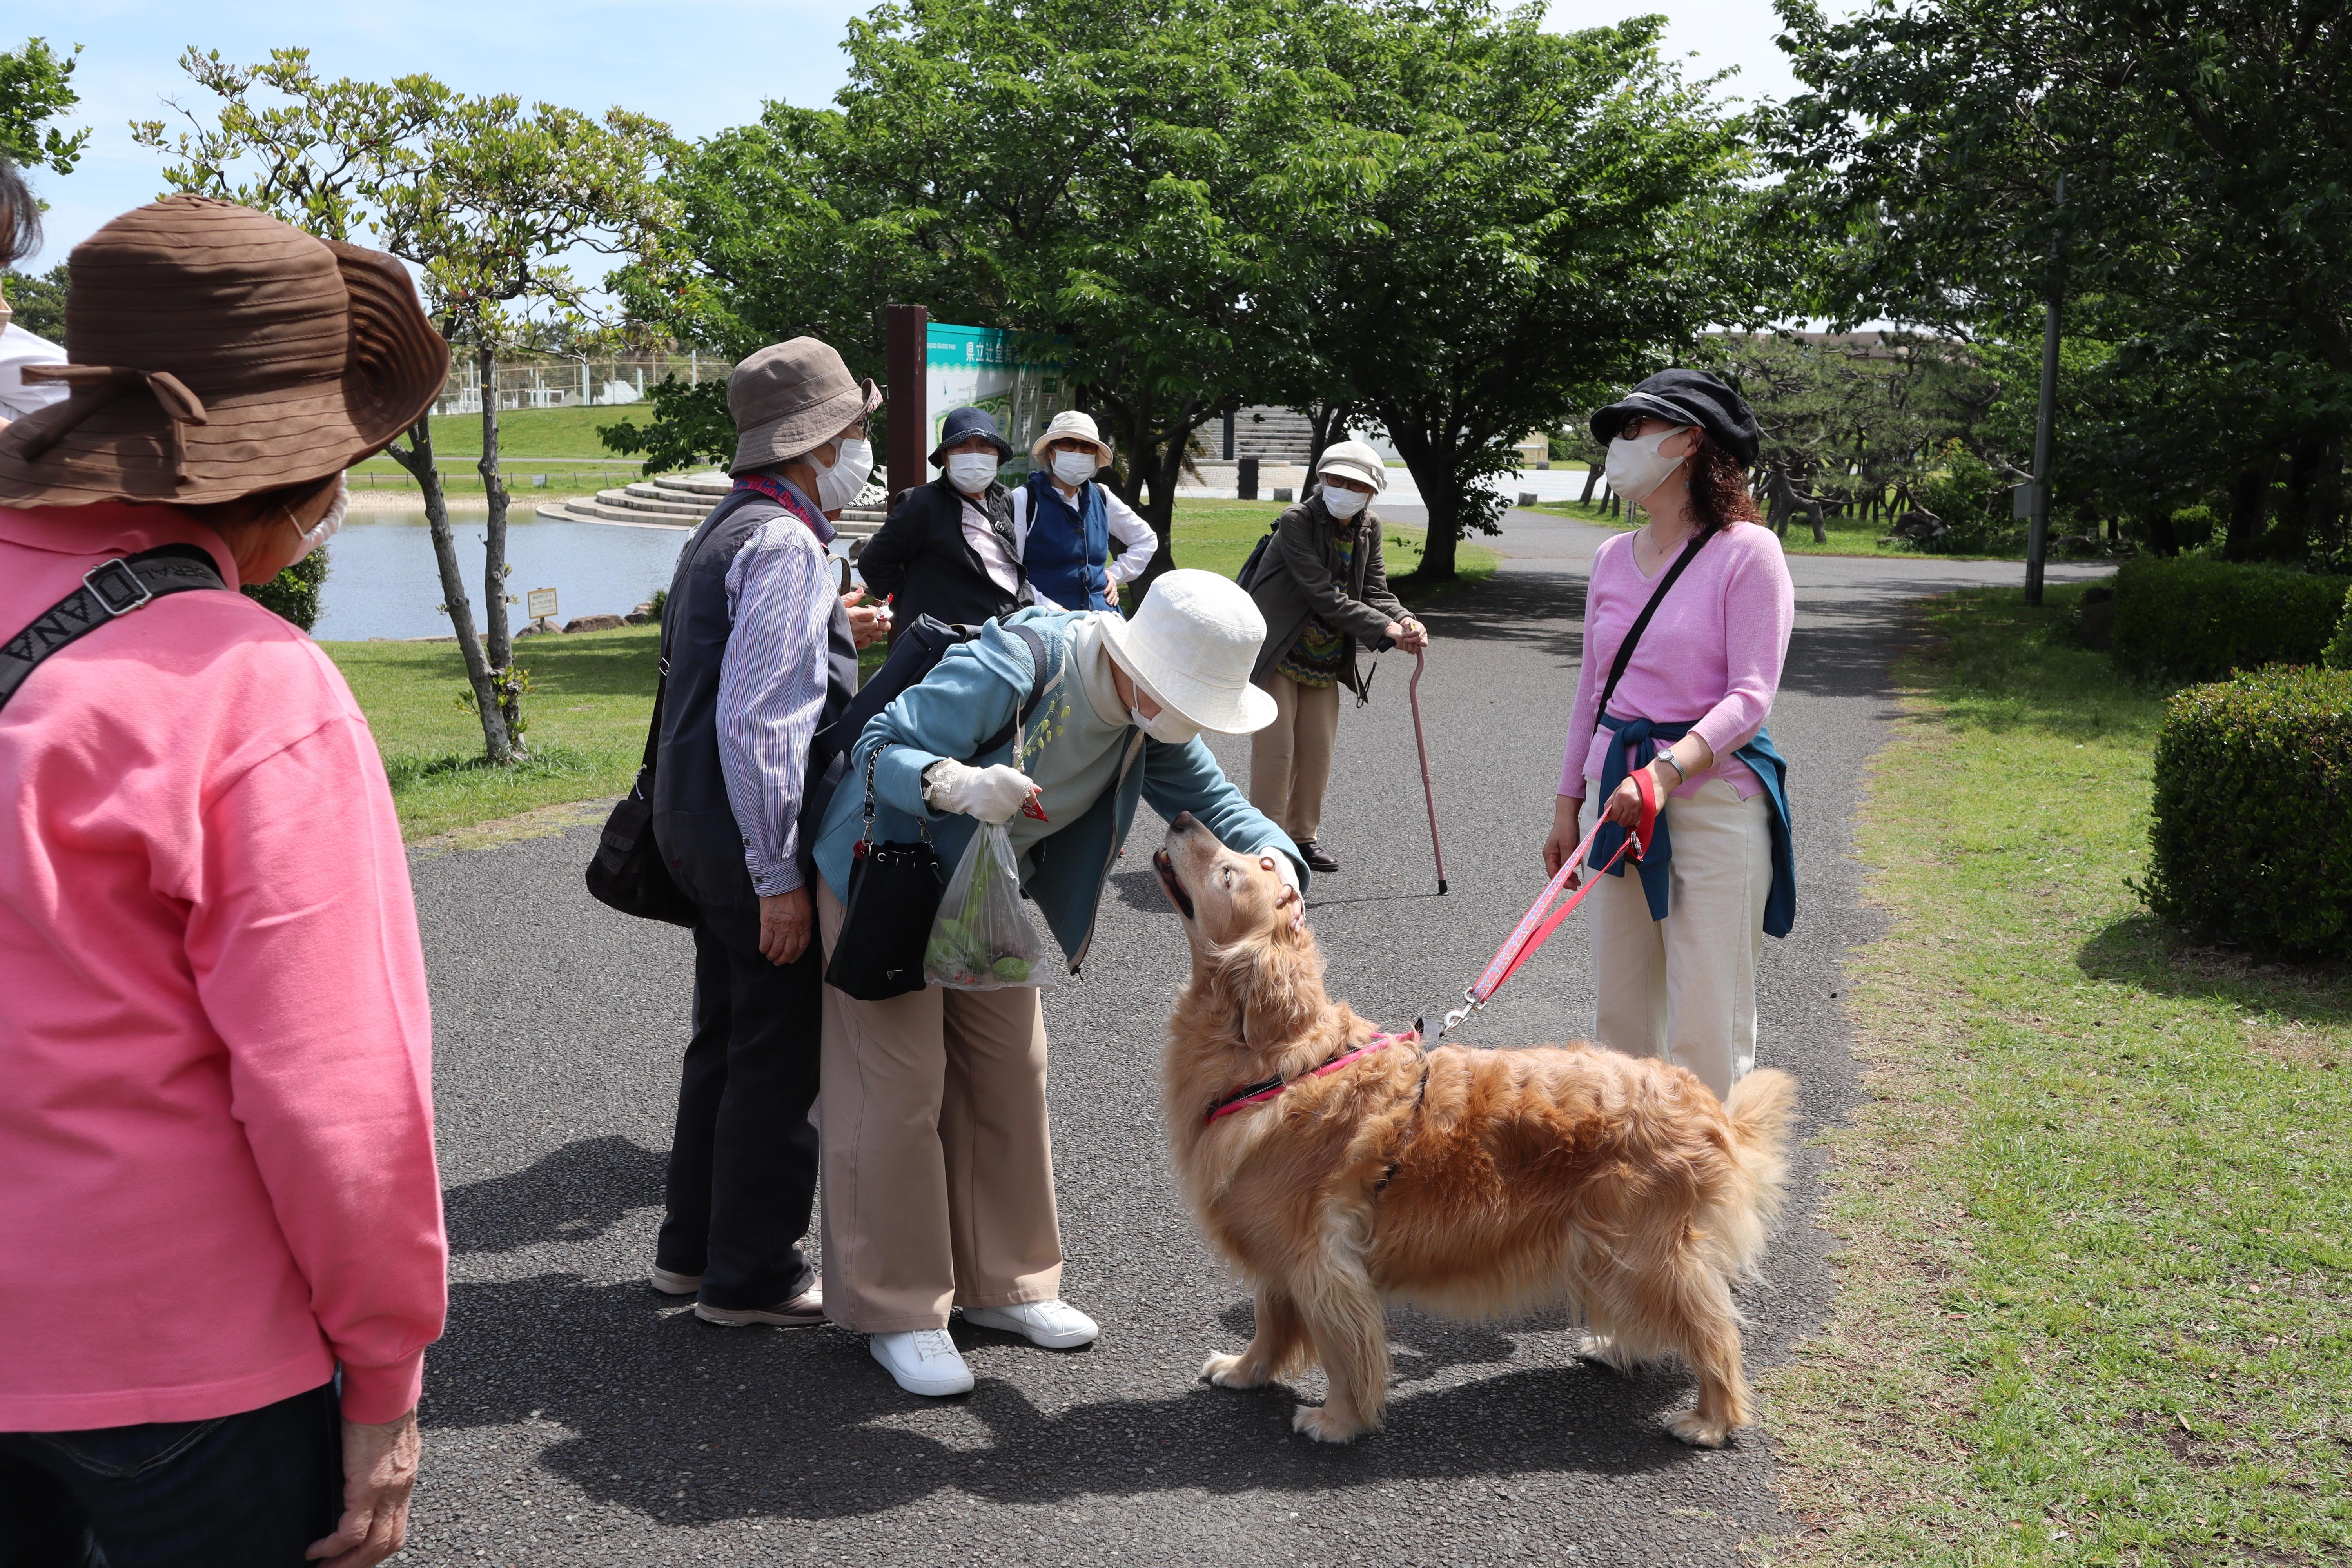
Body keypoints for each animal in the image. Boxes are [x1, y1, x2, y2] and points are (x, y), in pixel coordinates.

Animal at [1148, 818, 1788, 1457]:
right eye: (1242, 859)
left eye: (1228, 873)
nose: (1182, 819)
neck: (1286, 1063)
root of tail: (1707, 1106)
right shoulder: (1279, 1249)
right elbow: (1269, 1321)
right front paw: (1246, 1371)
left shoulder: (1322, 1263)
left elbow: (1345, 1353)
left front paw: (1338, 1419)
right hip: (1608, 1247)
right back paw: (1618, 1349)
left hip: (1645, 1251)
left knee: (1714, 1331)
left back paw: (1712, 1418)